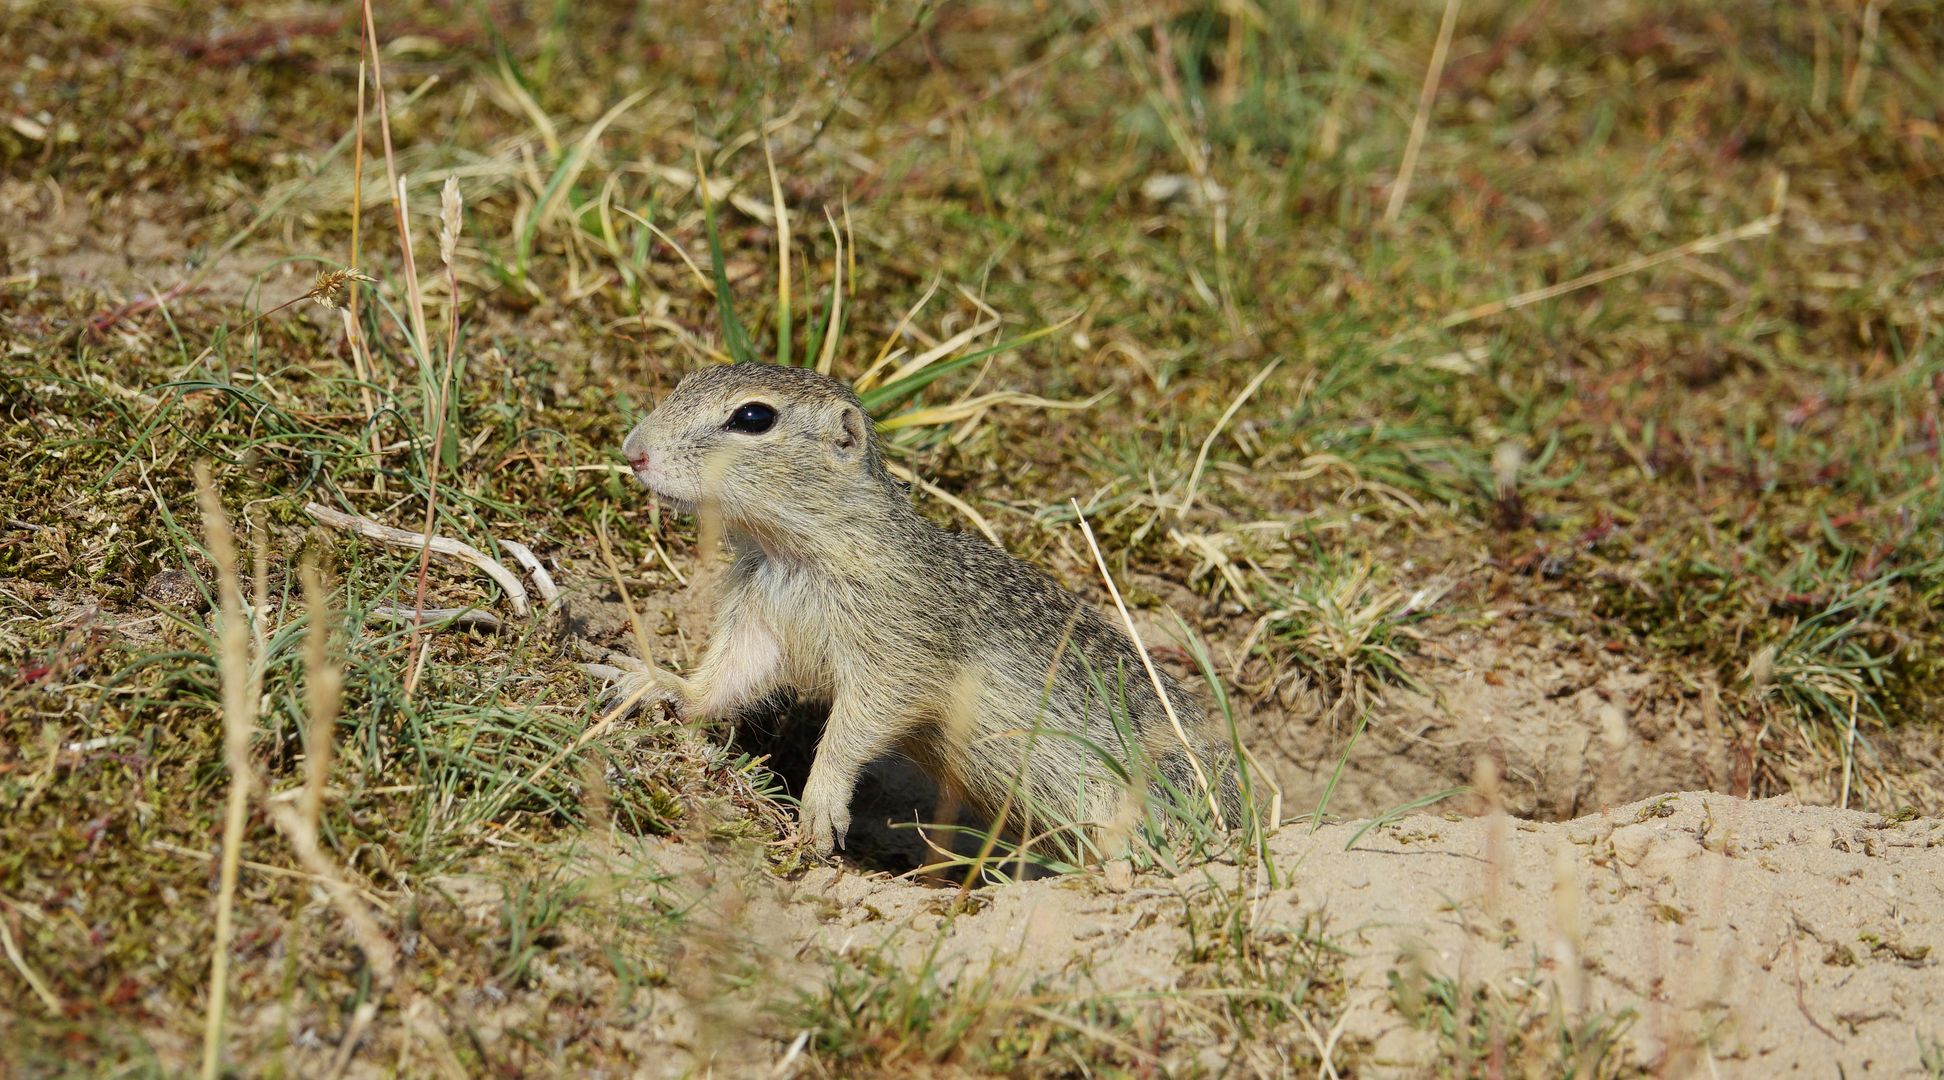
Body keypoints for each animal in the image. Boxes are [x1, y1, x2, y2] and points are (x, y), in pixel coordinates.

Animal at [614, 367, 1236, 854]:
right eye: (685, 381)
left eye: (752, 417)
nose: (632, 451)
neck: (792, 551)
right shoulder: (758, 621)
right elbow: (727, 678)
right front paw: (655, 682)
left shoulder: (899, 647)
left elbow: (860, 724)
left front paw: (820, 804)